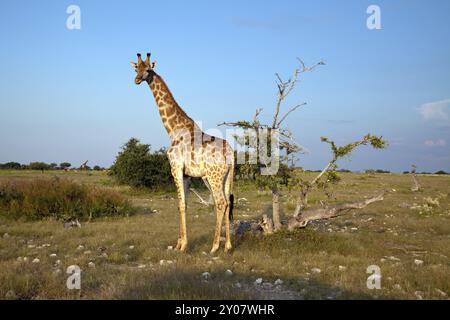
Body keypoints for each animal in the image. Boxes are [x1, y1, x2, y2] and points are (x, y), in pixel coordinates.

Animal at [131, 52, 234, 252]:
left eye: (148, 70)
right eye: (135, 68)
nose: (137, 79)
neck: (174, 129)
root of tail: (232, 154)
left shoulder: (176, 168)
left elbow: (180, 204)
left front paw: (183, 245)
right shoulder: (187, 174)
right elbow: (184, 204)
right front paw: (179, 242)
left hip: (213, 176)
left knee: (221, 202)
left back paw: (214, 247)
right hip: (226, 177)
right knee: (227, 202)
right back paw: (228, 246)